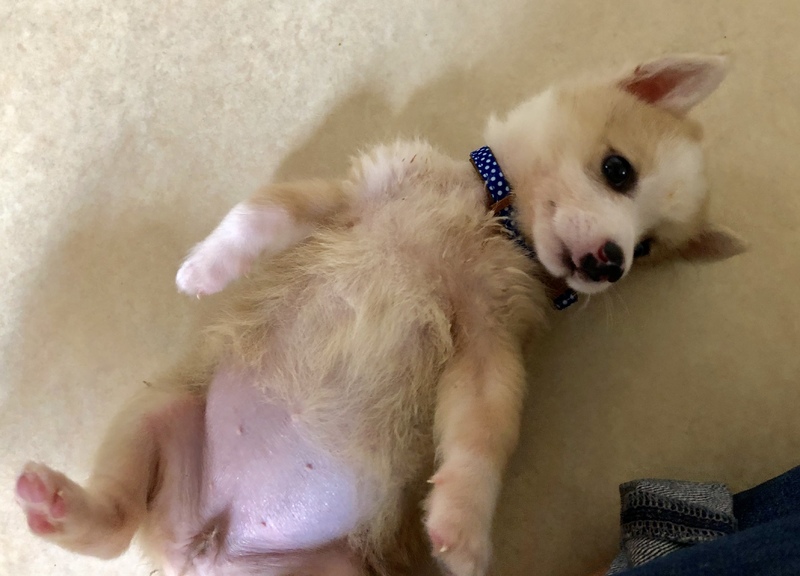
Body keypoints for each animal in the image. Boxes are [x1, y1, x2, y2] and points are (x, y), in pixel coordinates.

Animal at [15, 54, 744, 576]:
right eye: (619, 171)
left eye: (647, 249)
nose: (610, 264)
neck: (491, 220)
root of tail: (203, 550)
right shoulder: (348, 197)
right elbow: (261, 212)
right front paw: (207, 267)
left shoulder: (487, 350)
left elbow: (485, 438)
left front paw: (463, 525)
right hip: (156, 413)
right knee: (113, 523)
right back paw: (61, 504)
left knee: (114, 533)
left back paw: (58, 508)